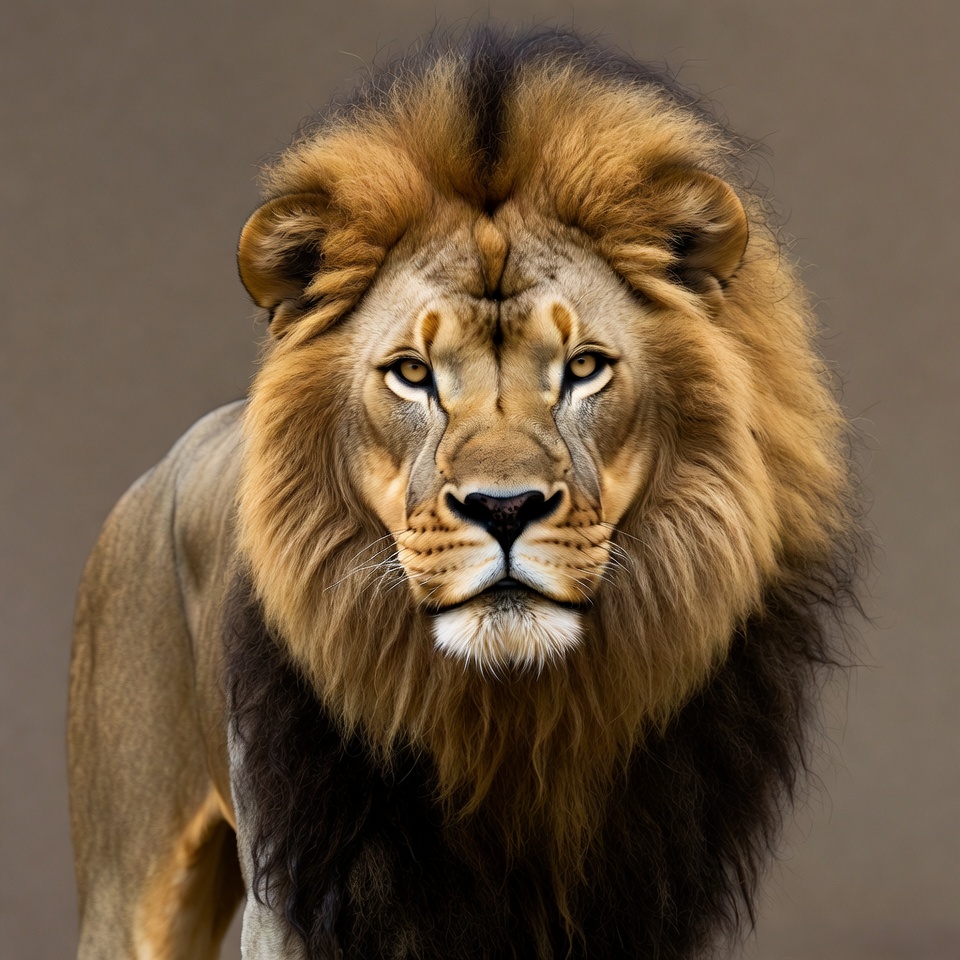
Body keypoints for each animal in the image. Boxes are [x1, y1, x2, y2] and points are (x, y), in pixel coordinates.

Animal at [68, 27, 860, 960]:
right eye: (413, 374)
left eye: (583, 367)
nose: (504, 508)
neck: (509, 726)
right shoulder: (302, 899)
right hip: (130, 881)